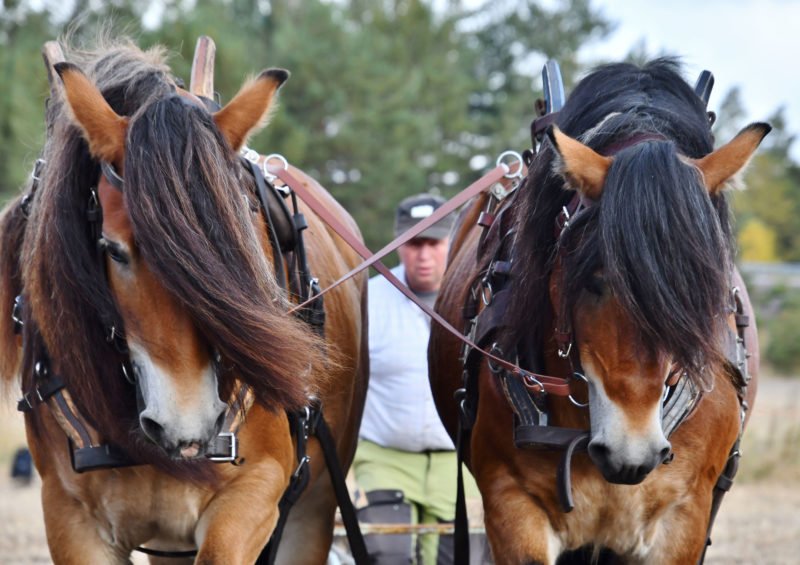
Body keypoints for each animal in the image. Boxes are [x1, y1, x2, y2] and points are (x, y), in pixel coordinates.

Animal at [0, 37, 368, 560]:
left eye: (243, 239)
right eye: (113, 250)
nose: (186, 424)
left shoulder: (255, 490)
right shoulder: (70, 516)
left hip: (313, 508)